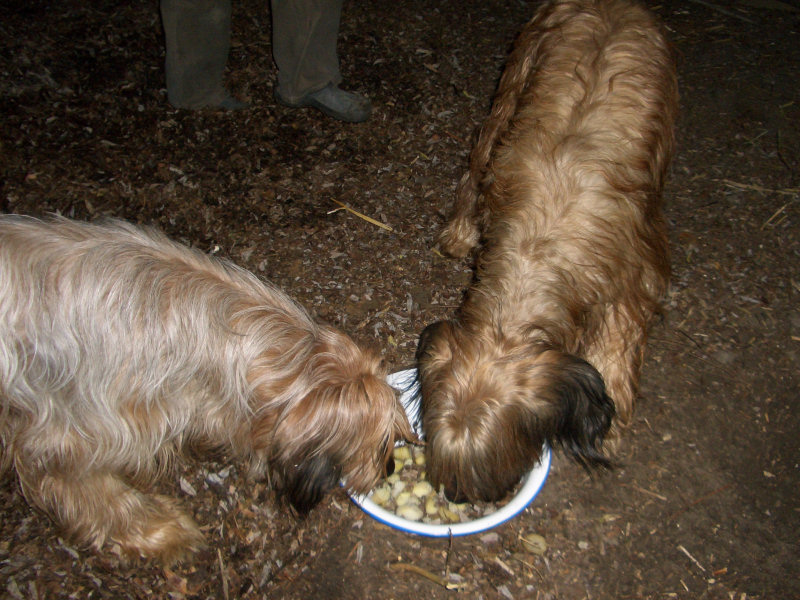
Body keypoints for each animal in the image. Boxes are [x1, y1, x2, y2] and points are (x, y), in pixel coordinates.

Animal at [417, 0, 678, 502]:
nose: (457, 498)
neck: (540, 249)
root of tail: (612, 5)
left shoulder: (635, 278)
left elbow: (617, 347)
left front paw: (612, 428)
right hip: (514, 82)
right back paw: (459, 232)